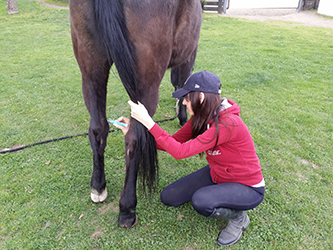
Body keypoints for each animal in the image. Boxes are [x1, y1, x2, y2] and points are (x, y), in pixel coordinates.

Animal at [68, 0, 201, 228]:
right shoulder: (188, 55)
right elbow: (185, 84)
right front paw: (183, 117)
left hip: (91, 66)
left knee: (98, 129)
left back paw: (98, 187)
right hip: (146, 81)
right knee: (133, 139)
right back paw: (127, 208)